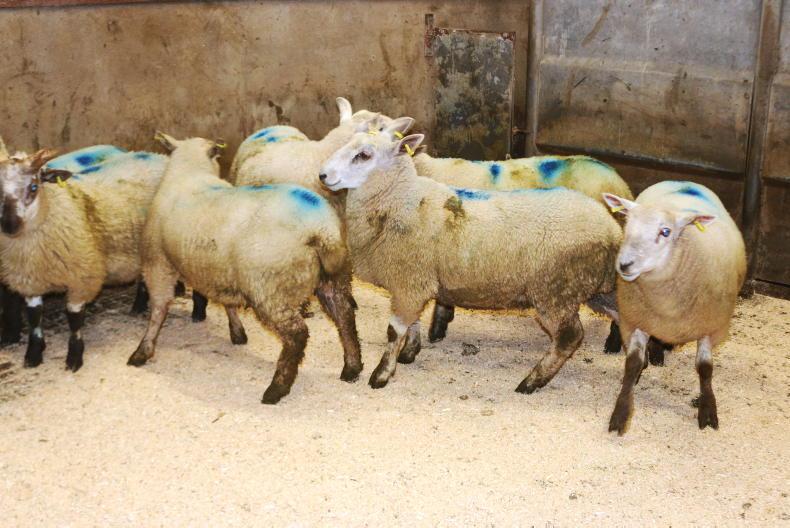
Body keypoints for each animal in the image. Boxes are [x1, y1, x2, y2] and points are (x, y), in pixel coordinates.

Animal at [0, 148, 168, 371]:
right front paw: (34, 354)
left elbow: (74, 319)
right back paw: (138, 306)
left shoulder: (81, 277)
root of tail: (159, 155)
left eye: (34, 187)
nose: (9, 225)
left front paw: (74, 358)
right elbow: (34, 318)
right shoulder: (30, 281)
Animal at [127, 133, 363, 404]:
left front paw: (143, 350)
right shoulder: (220, 272)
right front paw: (237, 333)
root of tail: (322, 231)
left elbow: (159, 309)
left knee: (297, 334)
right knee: (345, 317)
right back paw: (352, 367)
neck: (189, 173)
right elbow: (228, 303)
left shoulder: (157, 263)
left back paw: (277, 388)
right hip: (334, 278)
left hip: (269, 288)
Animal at [602, 182, 746, 433]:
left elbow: (705, 369)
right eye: (627, 225)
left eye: (666, 232)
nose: (625, 265)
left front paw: (708, 409)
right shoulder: (638, 319)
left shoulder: (709, 325)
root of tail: (683, 182)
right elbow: (632, 364)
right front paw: (621, 413)